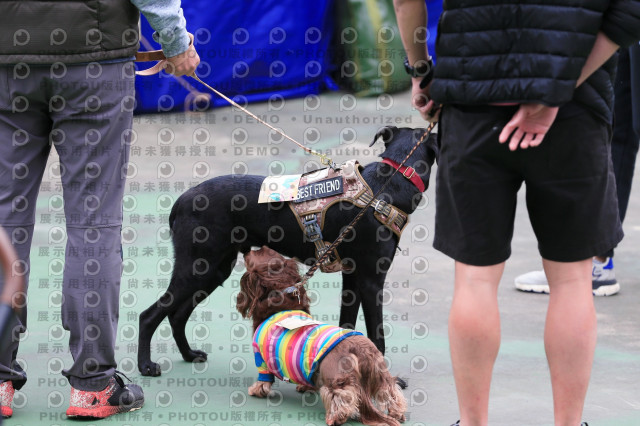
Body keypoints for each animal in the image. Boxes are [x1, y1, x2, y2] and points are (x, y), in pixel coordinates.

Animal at [138, 126, 437, 376]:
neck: (387, 185)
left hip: (214, 269)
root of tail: (180, 200)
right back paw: (146, 366)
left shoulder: (352, 277)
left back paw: (188, 355)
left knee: (176, 314)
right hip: (197, 266)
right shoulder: (371, 279)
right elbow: (378, 336)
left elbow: (347, 326)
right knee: (149, 315)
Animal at [237, 246, 407, 426]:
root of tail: (360, 348)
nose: (246, 250)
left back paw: (336, 417)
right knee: (389, 390)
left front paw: (256, 390)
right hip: (379, 374)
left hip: (336, 378)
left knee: (343, 396)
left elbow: (264, 380)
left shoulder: (260, 357)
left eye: (257, 253)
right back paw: (397, 412)